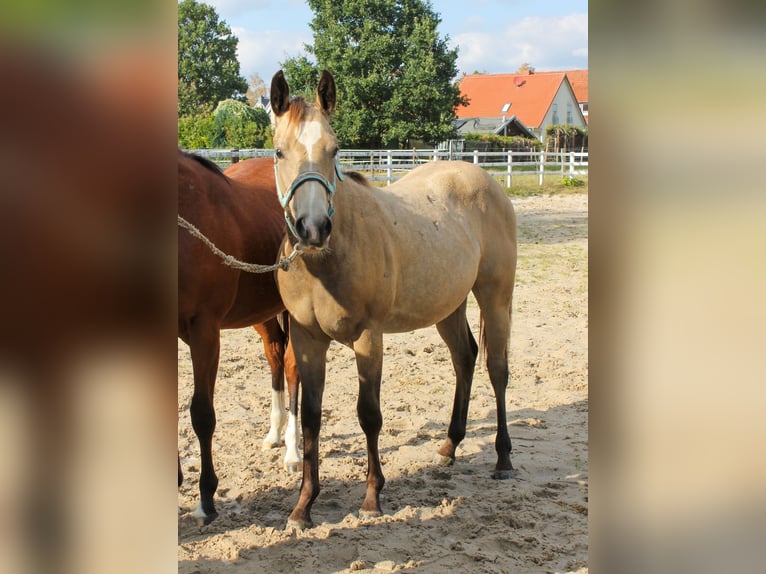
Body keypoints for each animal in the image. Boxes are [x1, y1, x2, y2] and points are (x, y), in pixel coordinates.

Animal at [178, 150, 300, 525]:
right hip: (262, 314)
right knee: (275, 356)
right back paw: (275, 434)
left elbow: (202, 414)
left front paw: (206, 498)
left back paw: (293, 450)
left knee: (292, 367)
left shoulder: (205, 332)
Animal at [269, 70, 518, 529]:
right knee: (465, 357)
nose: (313, 228)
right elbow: (311, 419)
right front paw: (303, 505)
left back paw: (503, 458)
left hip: (496, 297)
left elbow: (369, 414)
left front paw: (371, 497)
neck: (326, 262)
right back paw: (450, 445)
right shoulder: (308, 339)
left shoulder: (369, 337)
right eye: (279, 152)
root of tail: (486, 181)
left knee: (497, 369)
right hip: (448, 305)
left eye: (334, 150)